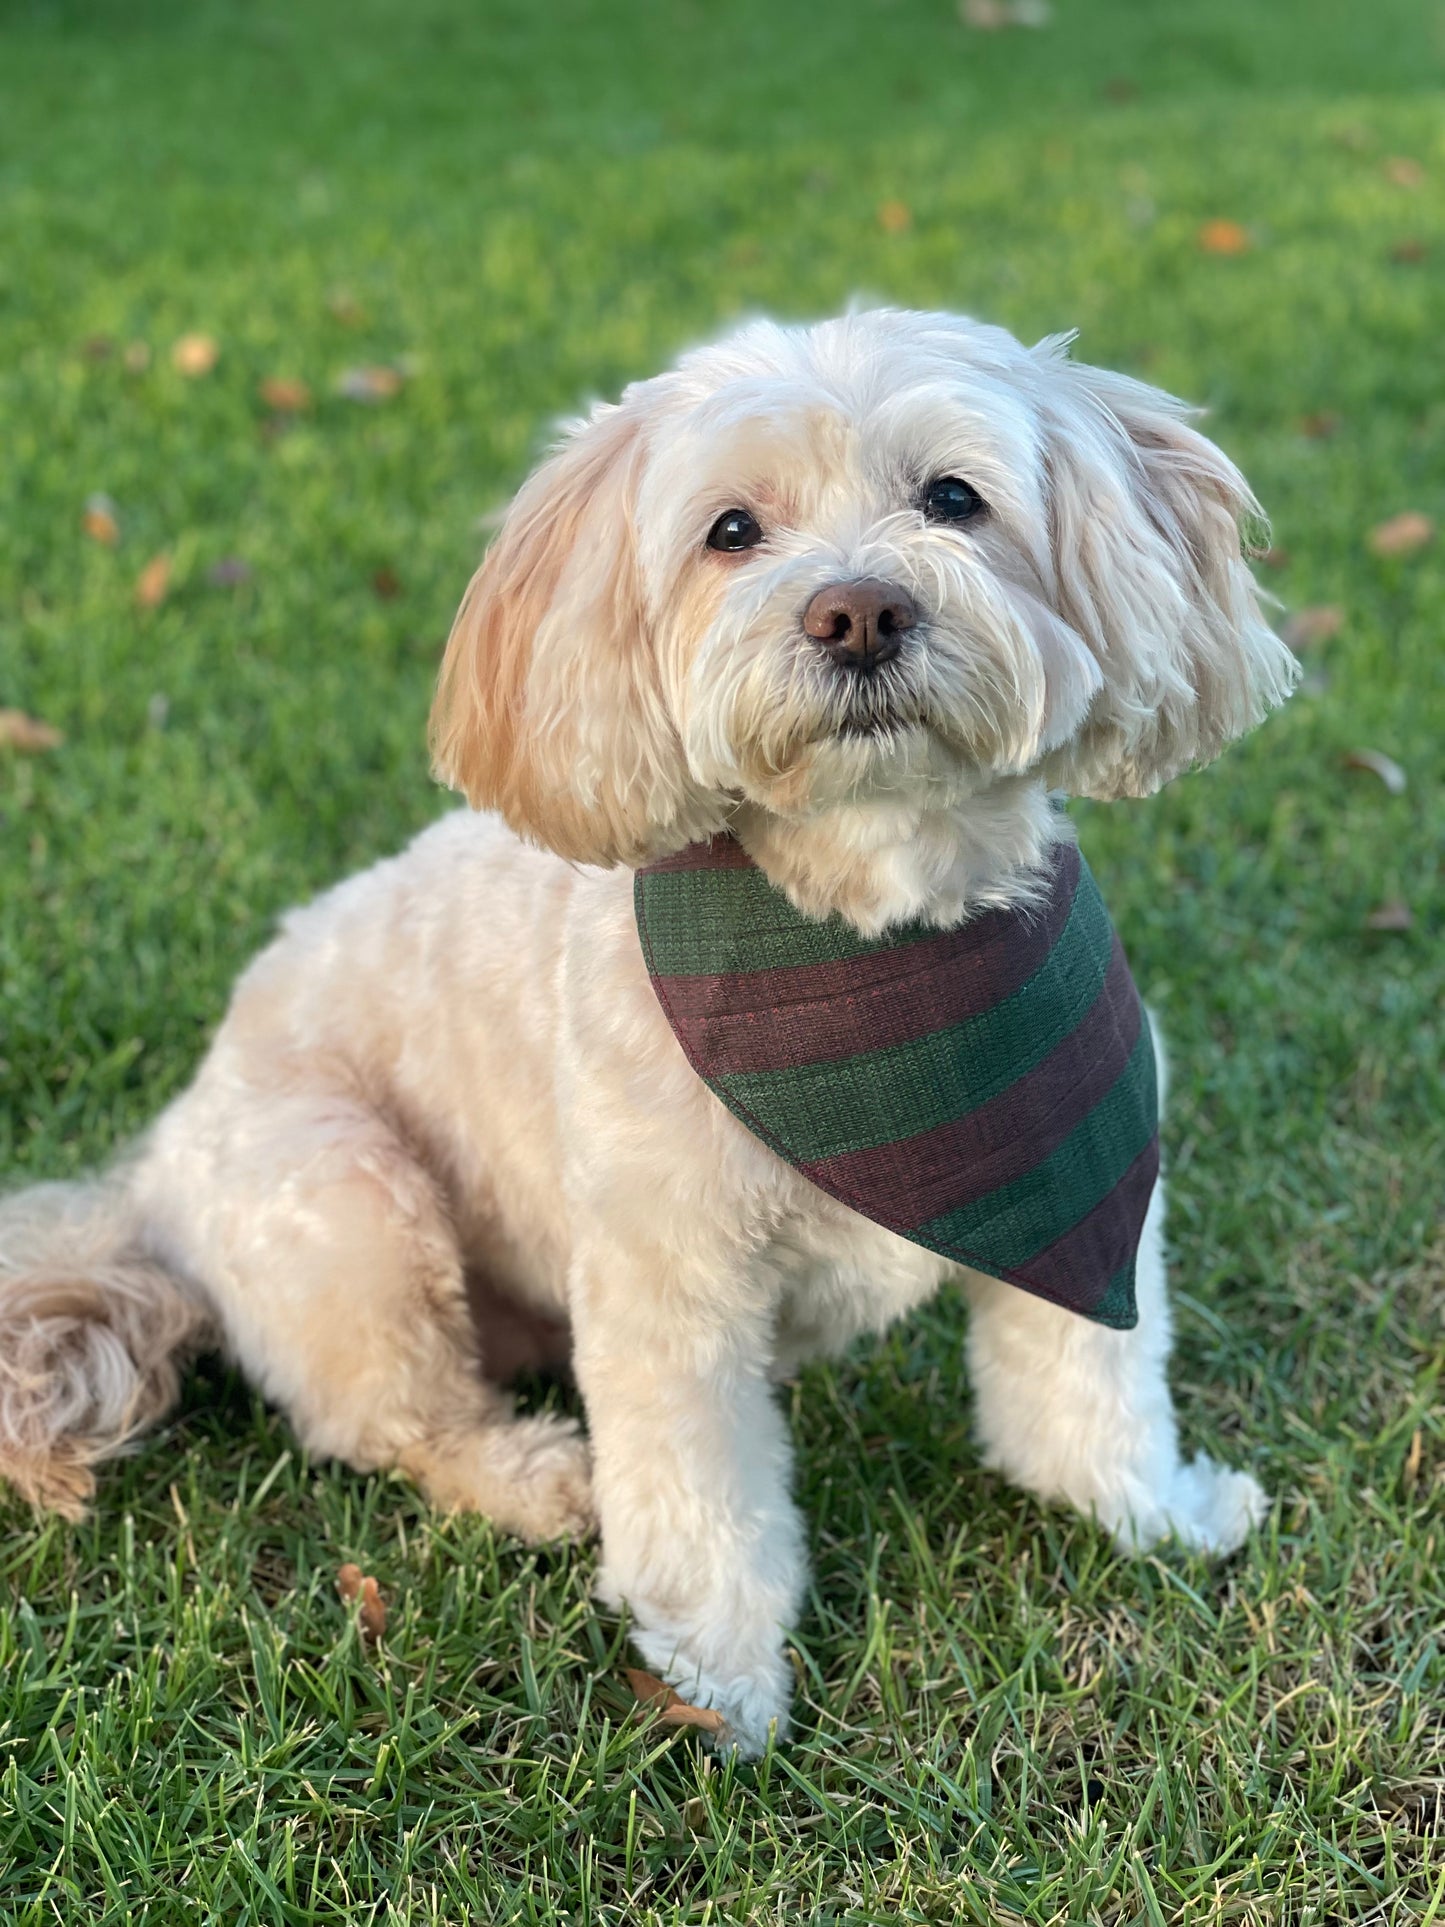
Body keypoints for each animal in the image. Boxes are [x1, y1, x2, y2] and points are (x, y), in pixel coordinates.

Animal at [0, 308, 1294, 1757]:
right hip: (343, 1196)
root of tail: (149, 1173)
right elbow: (700, 1501)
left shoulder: (1081, 1194)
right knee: (394, 1418)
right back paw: (533, 1475)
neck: (869, 938)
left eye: (953, 498)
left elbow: (1083, 1395)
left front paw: (1155, 1516)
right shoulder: (668, 1283)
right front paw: (715, 1680)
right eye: (731, 529)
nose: (858, 611)